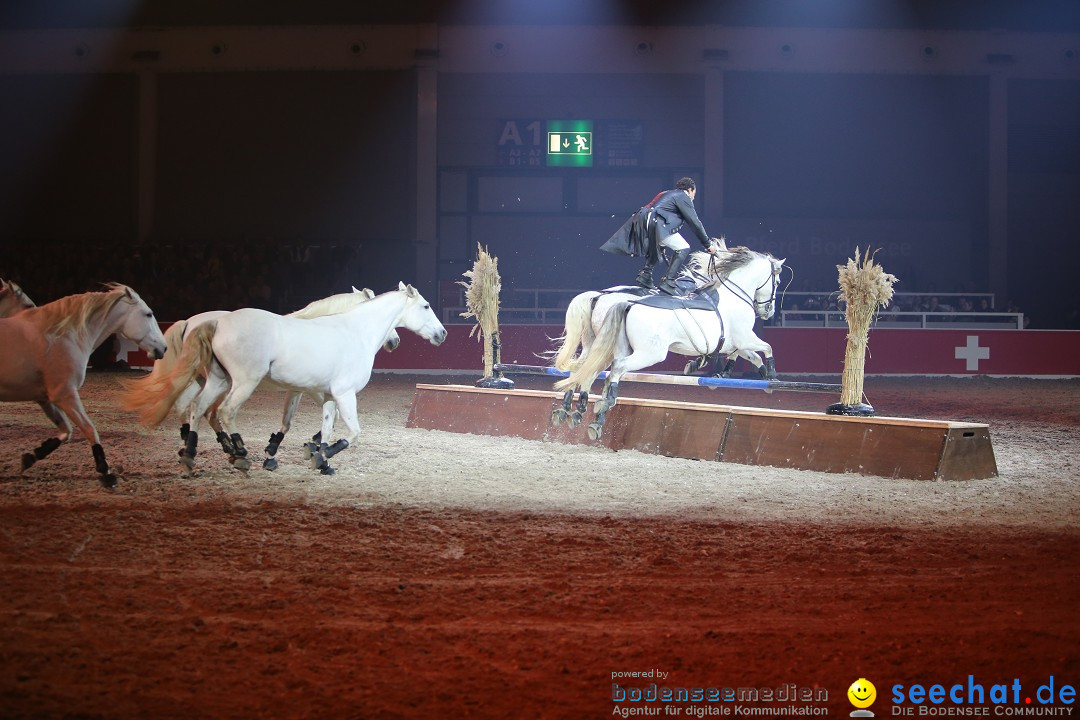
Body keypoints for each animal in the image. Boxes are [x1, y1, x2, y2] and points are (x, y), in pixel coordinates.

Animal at [0, 284, 166, 487]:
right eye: (148, 314)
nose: (163, 347)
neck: (60, 336)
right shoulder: (65, 395)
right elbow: (89, 429)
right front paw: (106, 472)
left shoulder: (46, 399)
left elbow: (66, 432)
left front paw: (30, 457)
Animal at [154, 284, 444, 474]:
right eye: (426, 306)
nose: (442, 334)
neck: (355, 331)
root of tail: (214, 323)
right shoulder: (343, 393)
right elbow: (353, 432)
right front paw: (319, 454)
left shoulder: (325, 394)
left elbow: (325, 426)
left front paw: (320, 459)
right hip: (242, 383)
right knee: (223, 411)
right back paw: (238, 453)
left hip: (218, 381)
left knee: (198, 408)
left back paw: (190, 455)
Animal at [552, 248, 781, 440]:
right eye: (776, 281)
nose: (769, 312)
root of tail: (604, 298)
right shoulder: (742, 338)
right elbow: (765, 348)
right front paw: (770, 375)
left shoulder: (734, 342)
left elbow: (750, 355)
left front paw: (723, 373)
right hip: (646, 353)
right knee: (608, 370)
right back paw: (594, 410)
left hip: (603, 346)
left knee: (585, 369)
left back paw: (573, 411)